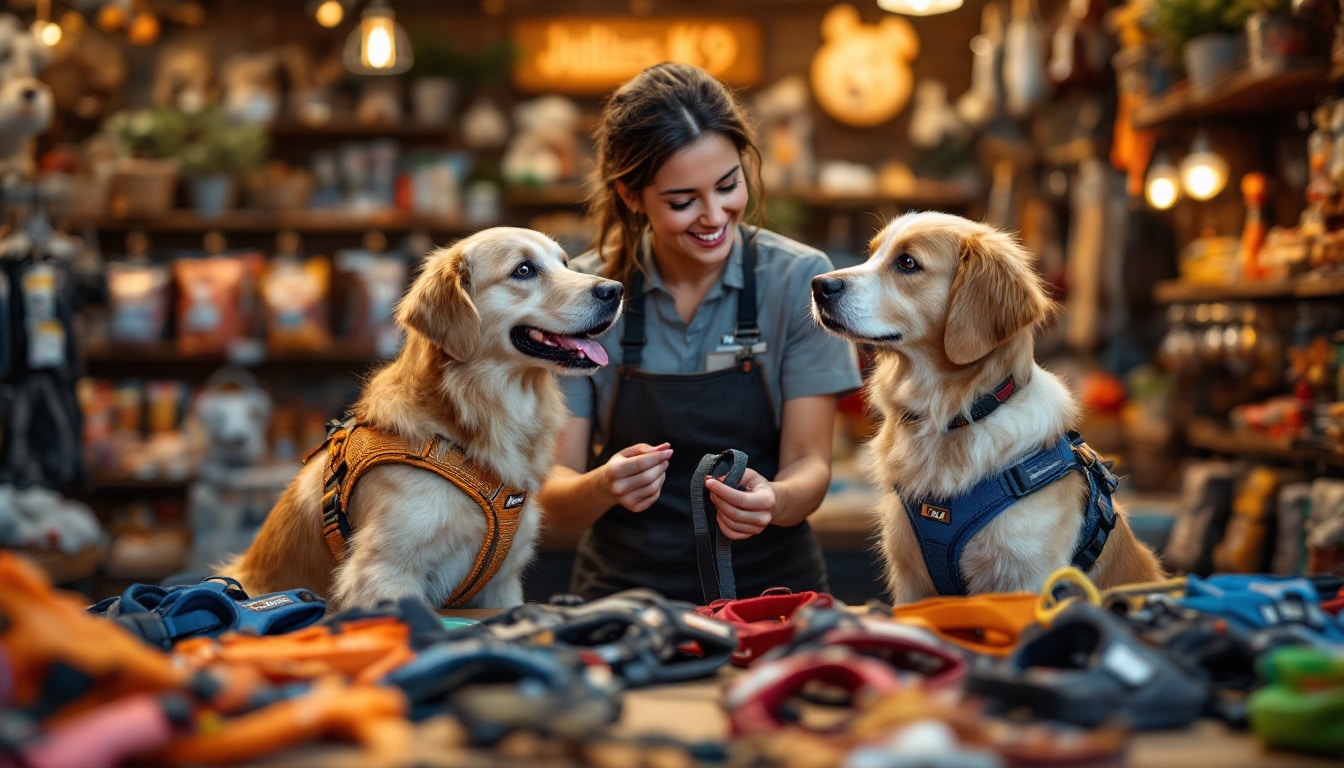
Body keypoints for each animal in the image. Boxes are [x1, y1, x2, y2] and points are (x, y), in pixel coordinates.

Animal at [806, 212, 1166, 607]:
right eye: (871, 254)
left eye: (907, 263)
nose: (819, 285)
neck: (955, 417)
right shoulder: (911, 579)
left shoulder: (1025, 578)